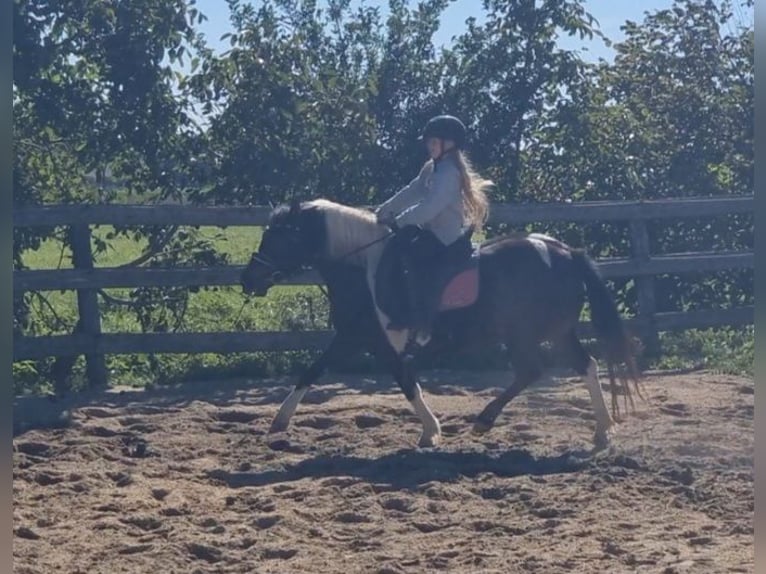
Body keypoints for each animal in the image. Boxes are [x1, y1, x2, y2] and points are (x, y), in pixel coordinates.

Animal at [240, 198, 642, 449]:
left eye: (278, 238)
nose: (248, 279)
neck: (362, 267)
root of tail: (565, 252)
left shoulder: (382, 342)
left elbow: (406, 381)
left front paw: (430, 432)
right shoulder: (351, 337)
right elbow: (311, 371)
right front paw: (279, 421)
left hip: (524, 334)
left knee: (533, 369)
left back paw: (485, 419)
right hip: (558, 331)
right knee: (584, 365)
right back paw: (602, 430)